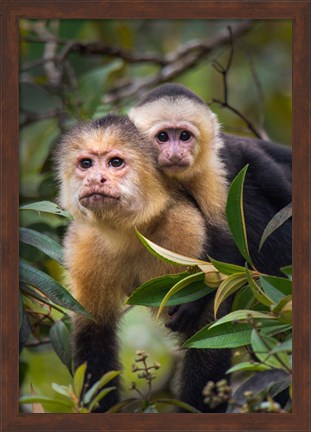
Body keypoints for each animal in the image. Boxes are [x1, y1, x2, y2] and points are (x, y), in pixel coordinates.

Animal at [56, 114, 233, 412]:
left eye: (116, 163)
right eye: (86, 164)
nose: (94, 179)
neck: (130, 231)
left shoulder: (184, 231)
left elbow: (208, 332)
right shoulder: (83, 243)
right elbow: (94, 334)